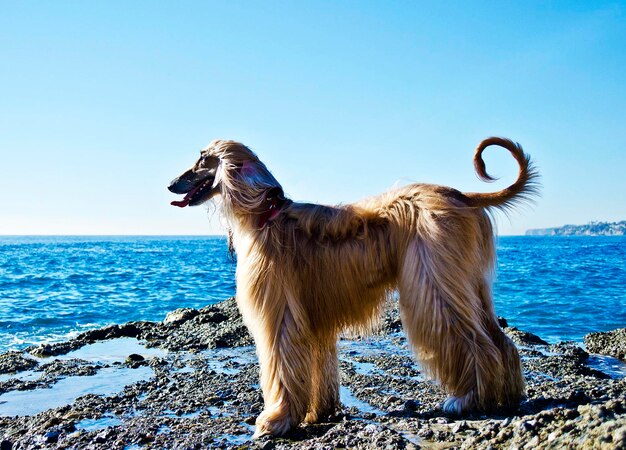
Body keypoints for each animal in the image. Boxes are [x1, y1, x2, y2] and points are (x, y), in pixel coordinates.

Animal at [167, 137, 536, 436]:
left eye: (203, 159)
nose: (170, 184)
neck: (265, 215)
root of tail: (462, 195)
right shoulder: (312, 318)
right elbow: (318, 366)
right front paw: (316, 413)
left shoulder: (280, 309)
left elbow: (281, 361)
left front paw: (277, 419)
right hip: (469, 281)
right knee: (499, 340)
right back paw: (506, 395)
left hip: (435, 280)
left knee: (474, 341)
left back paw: (467, 399)